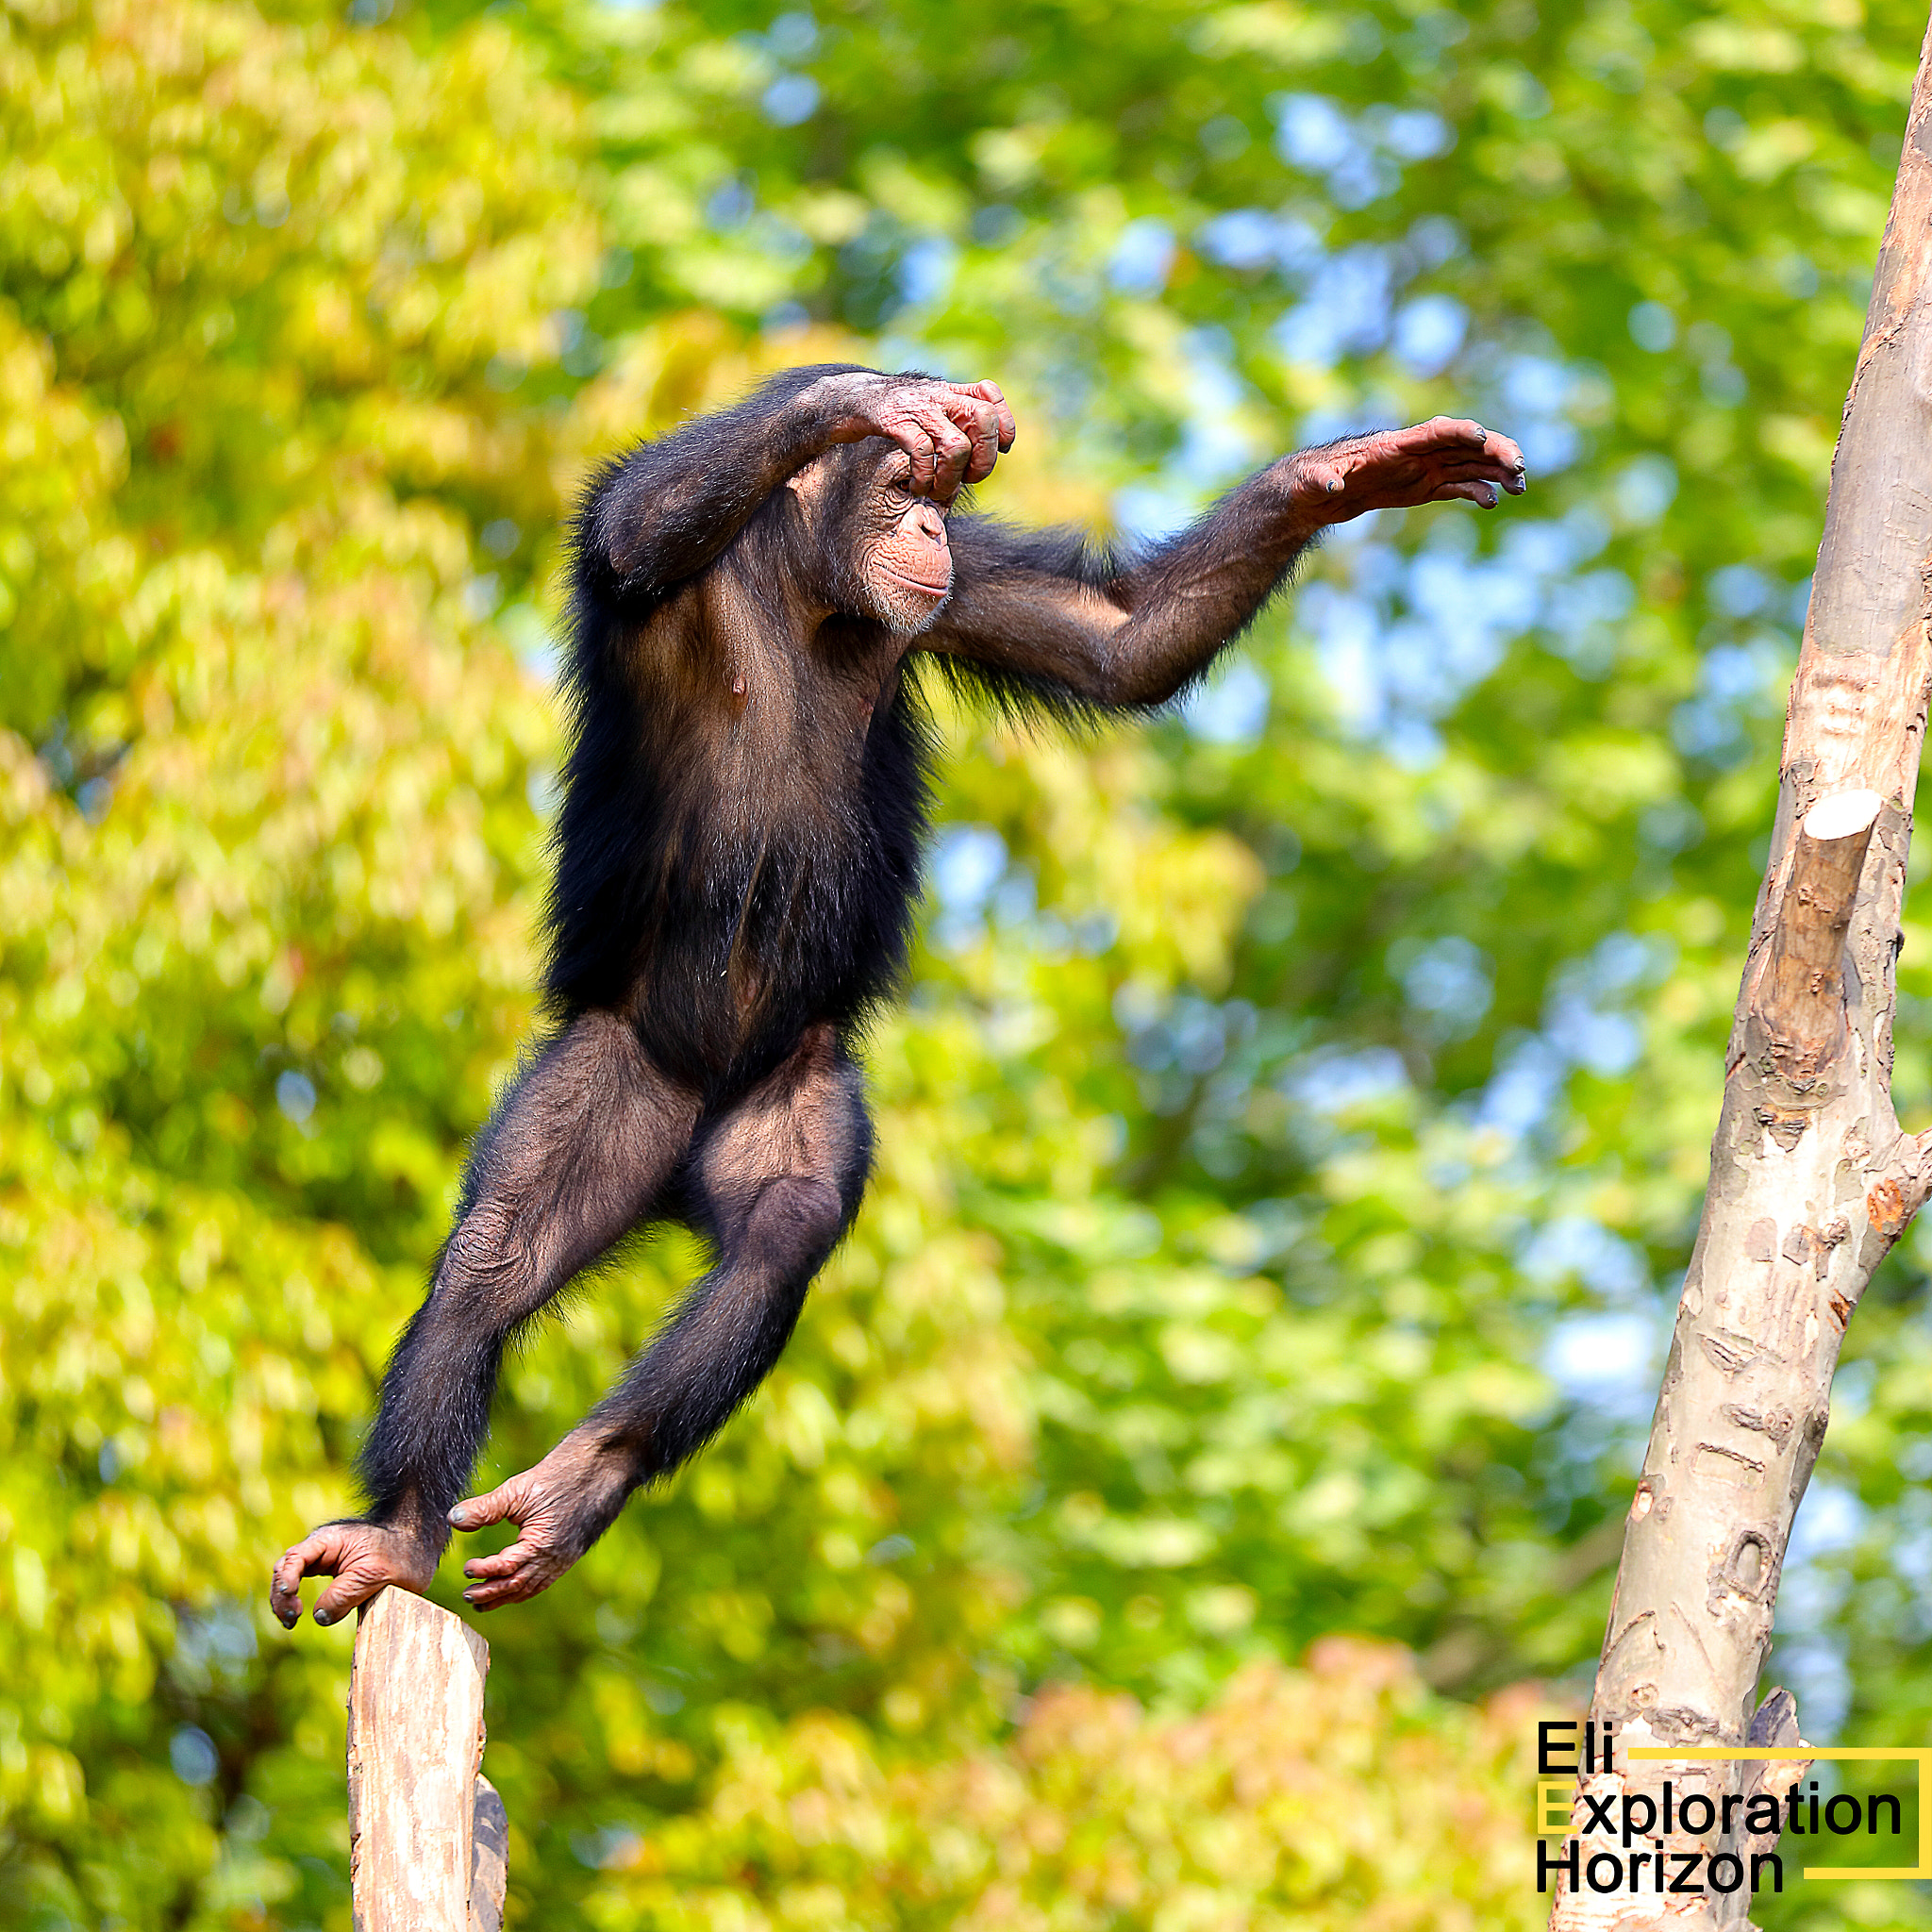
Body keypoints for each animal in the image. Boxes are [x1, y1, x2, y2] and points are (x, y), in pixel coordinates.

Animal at [270, 364, 1525, 1626]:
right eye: (900, 486)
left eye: (939, 502)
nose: (923, 518)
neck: (802, 586)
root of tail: (680, 1143)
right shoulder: (644, 555)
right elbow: (634, 523)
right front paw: (863, 396)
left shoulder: (964, 585)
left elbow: (1121, 639)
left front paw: (1357, 471)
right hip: (614, 1077)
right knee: (493, 1260)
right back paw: (399, 1533)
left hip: (790, 1086)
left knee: (778, 1239)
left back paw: (585, 1475)